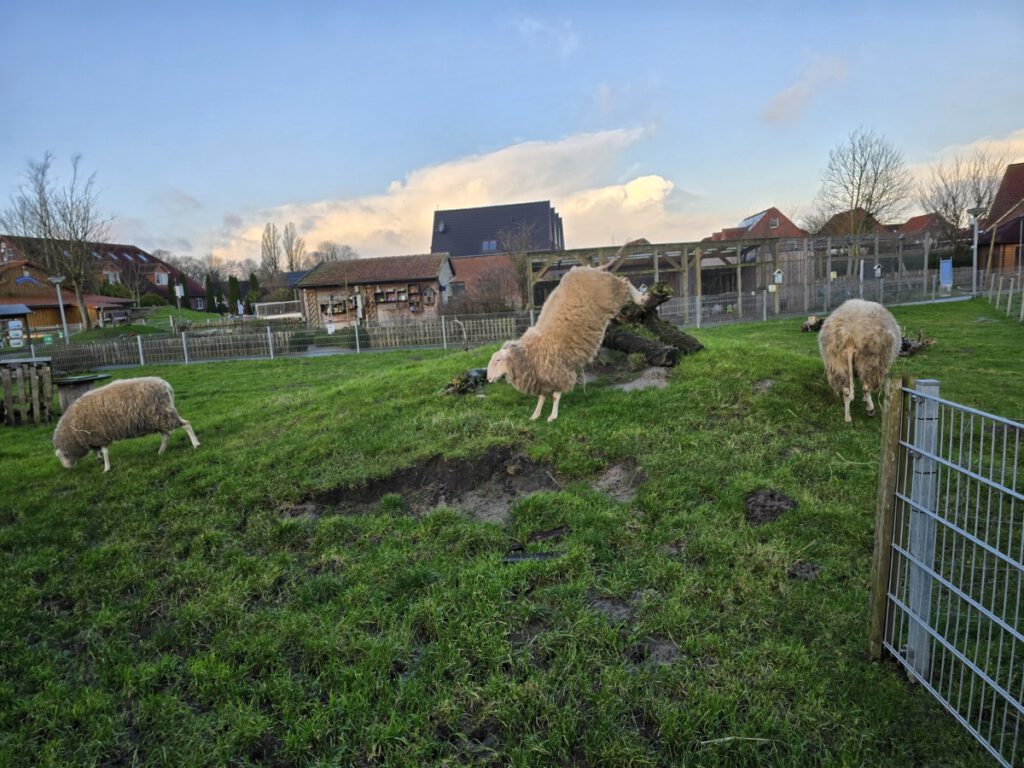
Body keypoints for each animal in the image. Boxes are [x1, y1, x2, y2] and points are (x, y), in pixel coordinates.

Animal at [52, 376, 200, 473]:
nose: (67, 468)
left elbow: (105, 451)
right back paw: (160, 452)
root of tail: (165, 385)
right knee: (165, 435)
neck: (73, 430)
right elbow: (97, 451)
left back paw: (195, 444)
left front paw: (106, 468)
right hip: (157, 419)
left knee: (186, 425)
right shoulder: (93, 437)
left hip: (164, 414)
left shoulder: (100, 433)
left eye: (62, 456)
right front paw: (98, 459)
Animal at [487, 264, 647, 421]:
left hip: (612, 293)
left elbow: (555, 396)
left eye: (498, 360)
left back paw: (641, 298)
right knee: (624, 280)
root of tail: (589, 268)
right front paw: (535, 415)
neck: (530, 353)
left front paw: (553, 416)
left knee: (625, 280)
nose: (488, 378)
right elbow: (541, 397)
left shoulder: (558, 372)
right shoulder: (544, 378)